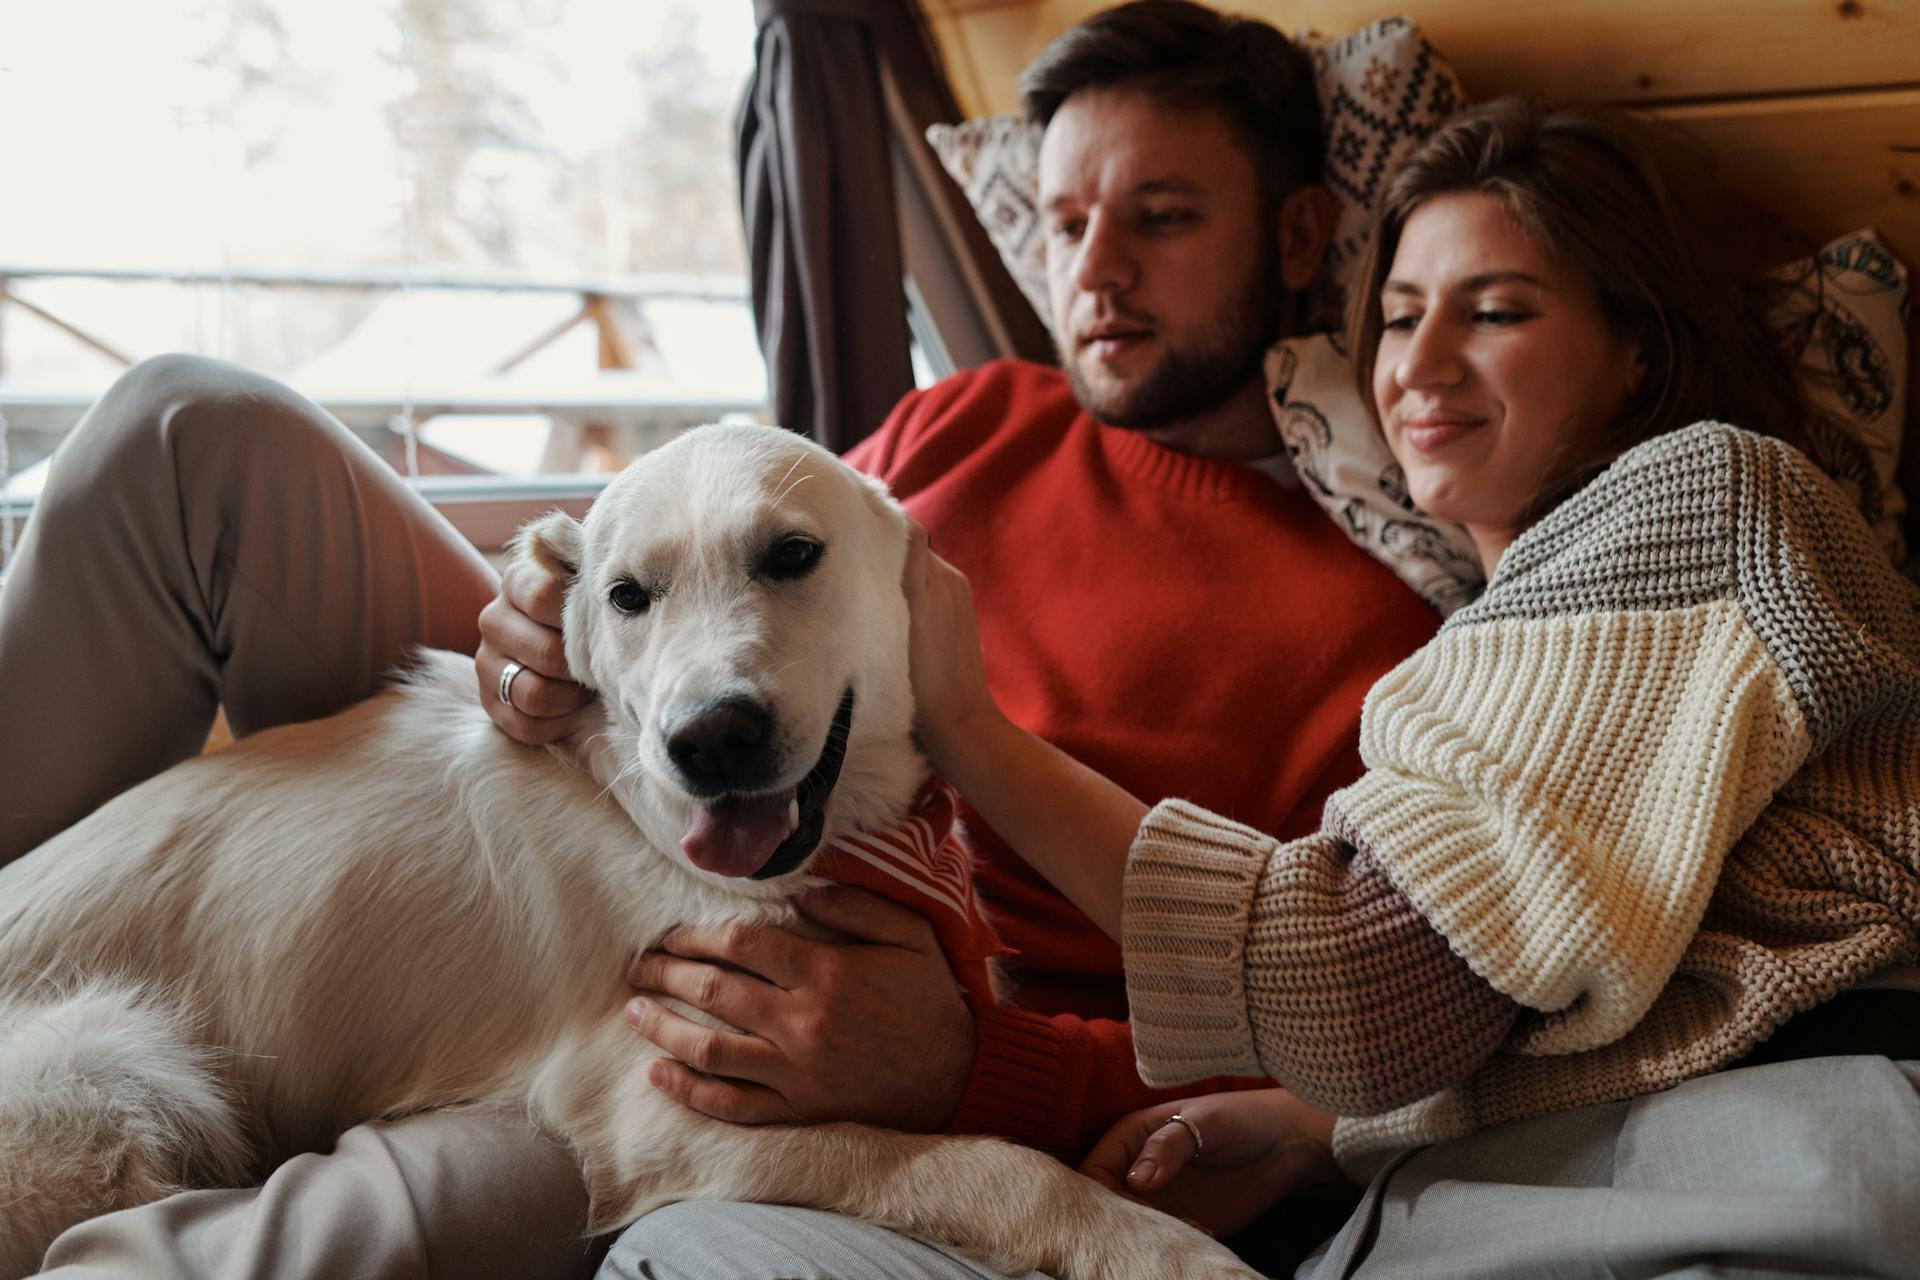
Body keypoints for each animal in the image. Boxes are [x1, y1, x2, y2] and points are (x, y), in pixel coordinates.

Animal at [0, 422, 1259, 1280]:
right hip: (117, 1075)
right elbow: (998, 1159)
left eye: (792, 553)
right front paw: (1166, 1244)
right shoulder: (678, 1106)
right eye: (625, 595)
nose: (710, 739)